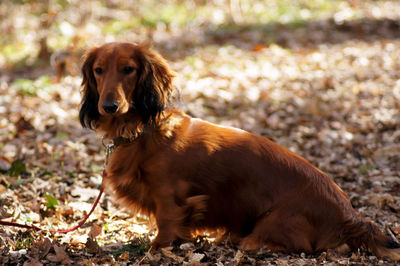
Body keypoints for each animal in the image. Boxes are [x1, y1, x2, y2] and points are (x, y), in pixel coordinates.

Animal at [79, 41, 400, 260]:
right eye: (98, 70)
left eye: (128, 69)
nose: (108, 106)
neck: (141, 130)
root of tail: (350, 216)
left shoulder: (170, 196)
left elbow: (167, 226)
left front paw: (156, 250)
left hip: (273, 221)